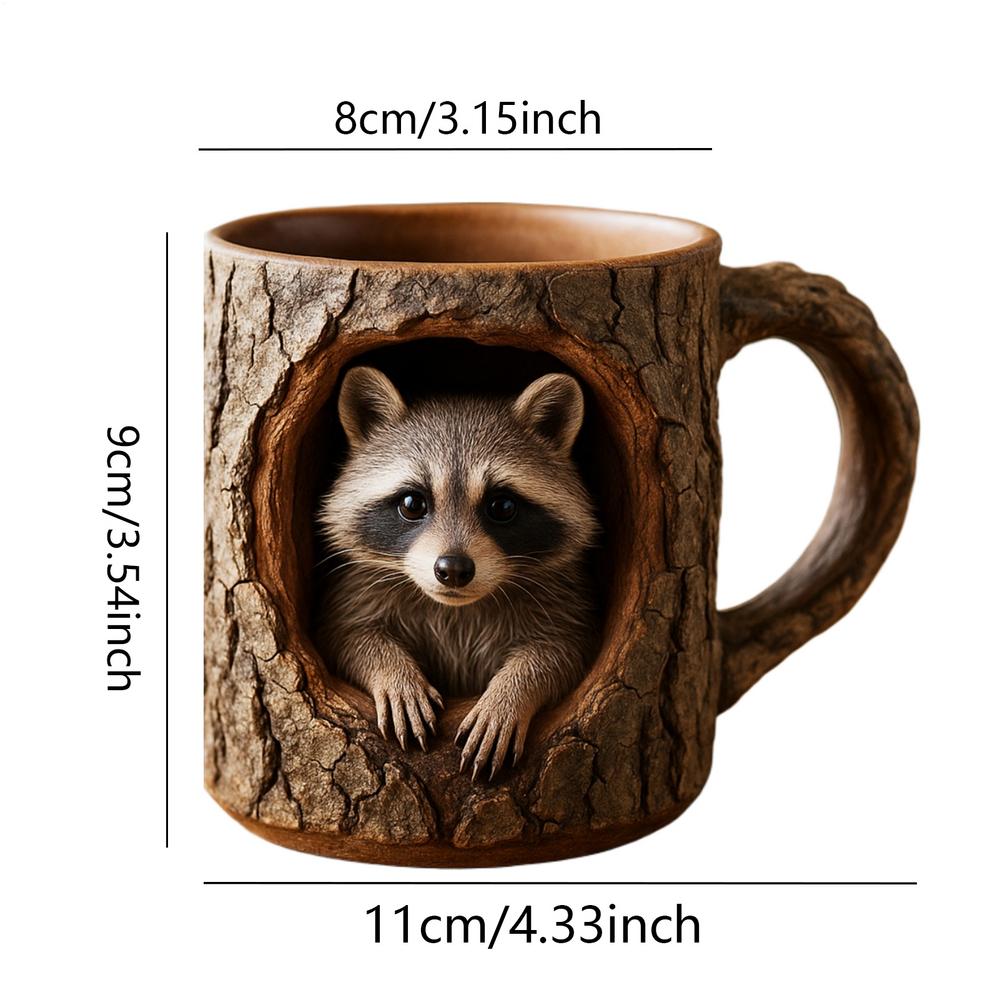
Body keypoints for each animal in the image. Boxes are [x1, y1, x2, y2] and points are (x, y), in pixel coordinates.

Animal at [316, 365, 600, 779]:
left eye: (501, 506)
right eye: (412, 503)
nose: (452, 569)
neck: (457, 608)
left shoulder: (563, 599)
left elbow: (560, 651)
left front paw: (510, 693)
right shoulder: (359, 588)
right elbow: (349, 635)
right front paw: (393, 672)